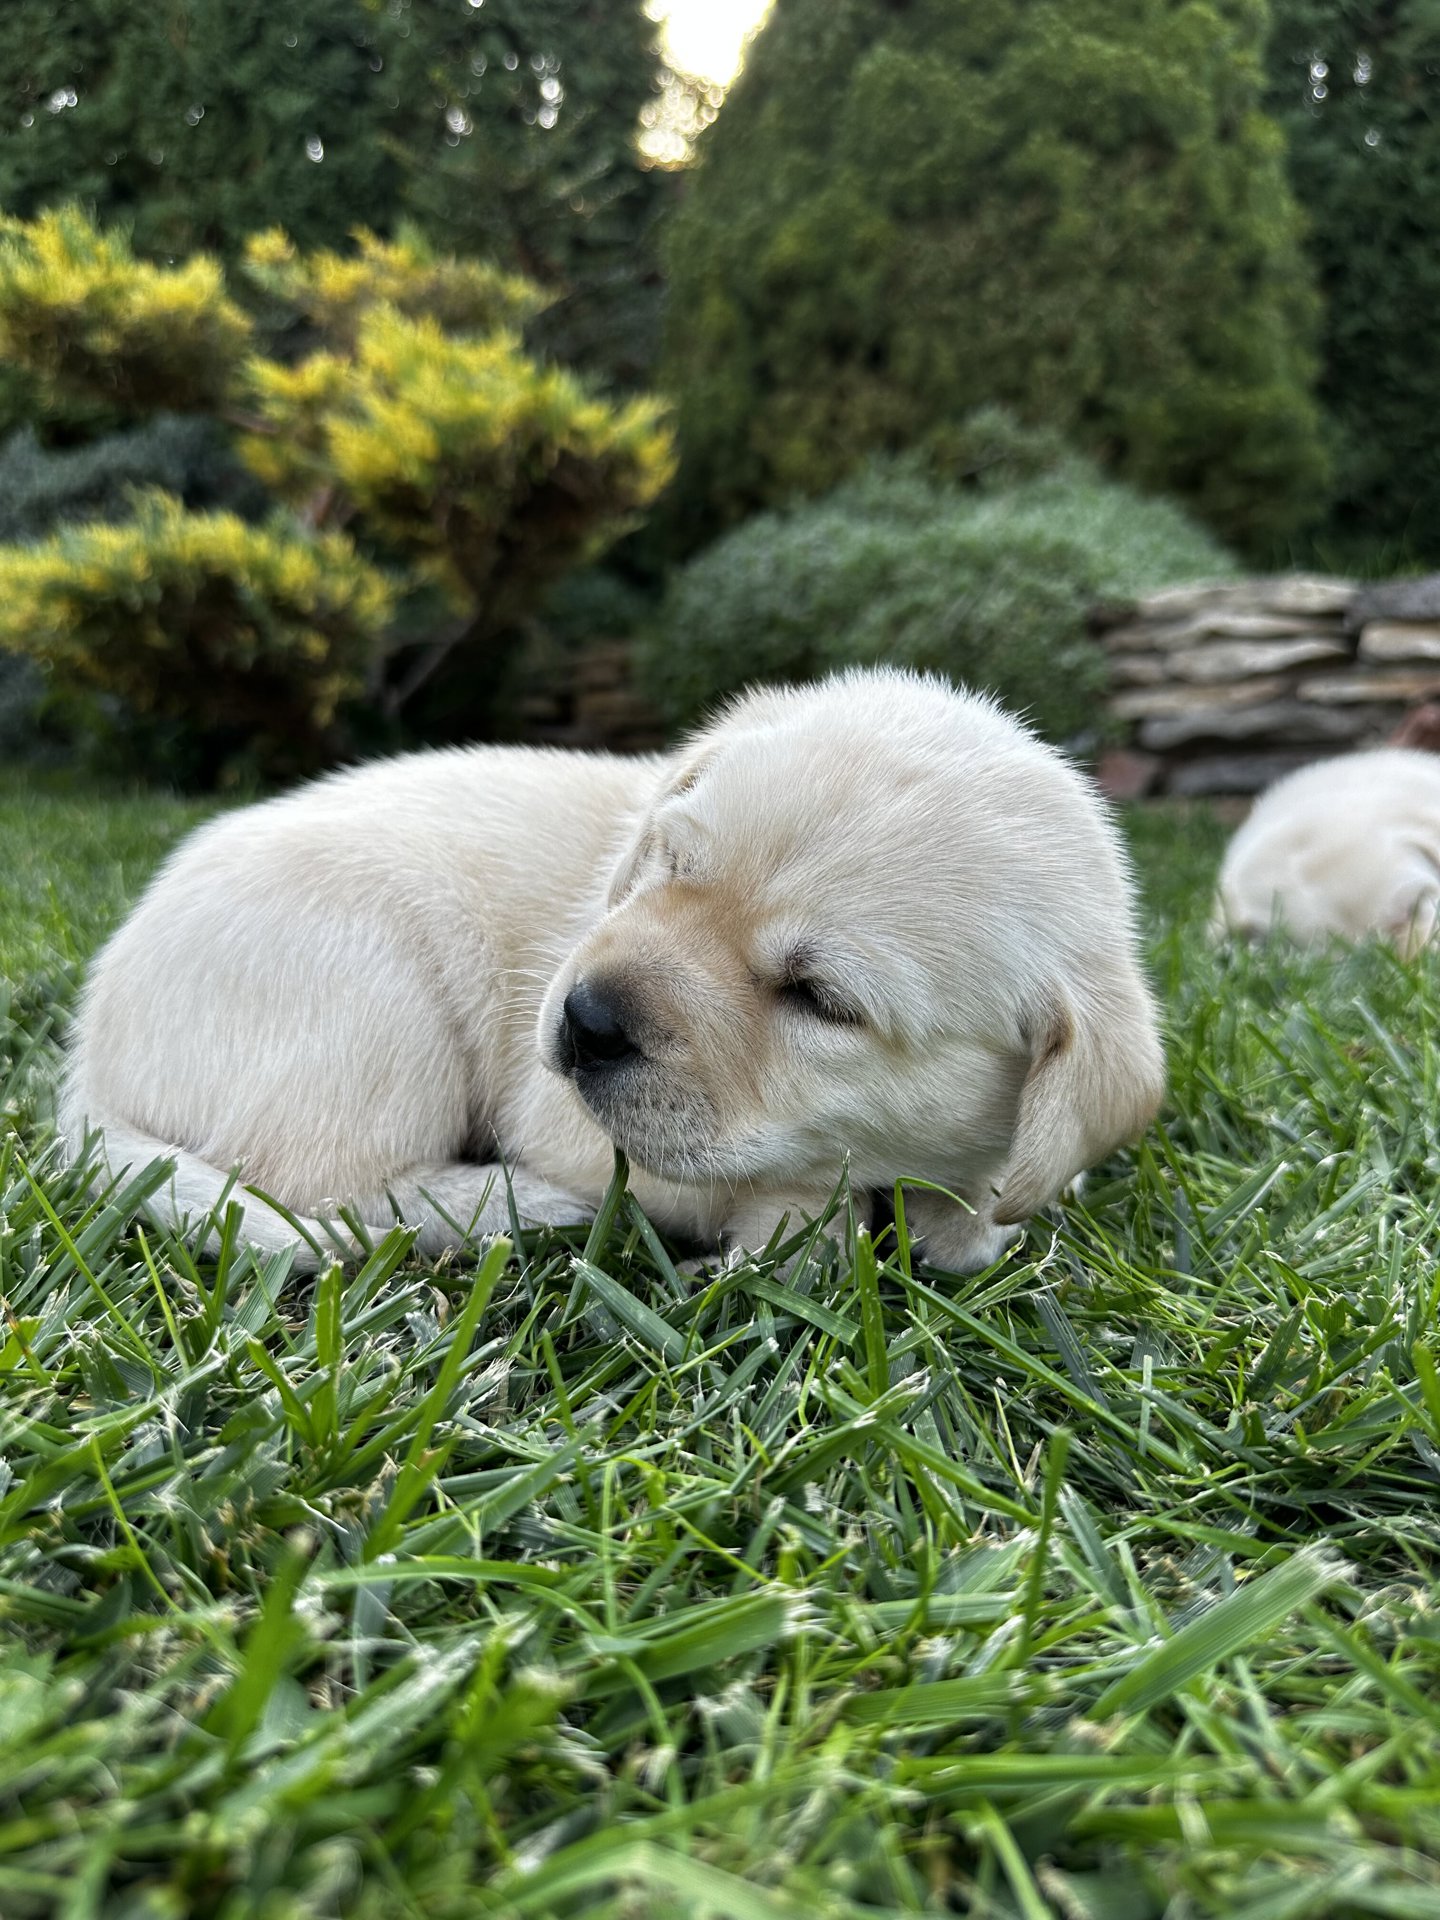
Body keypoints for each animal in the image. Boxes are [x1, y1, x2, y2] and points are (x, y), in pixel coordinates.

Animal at [61, 668, 1167, 1267]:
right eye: (671, 863)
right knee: (327, 1188)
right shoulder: (571, 1123)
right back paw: (519, 1206)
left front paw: (959, 1216)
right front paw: (810, 1226)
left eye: (820, 1000)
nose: (585, 1019)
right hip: (381, 989)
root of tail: (85, 1059)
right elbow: (767, 1189)